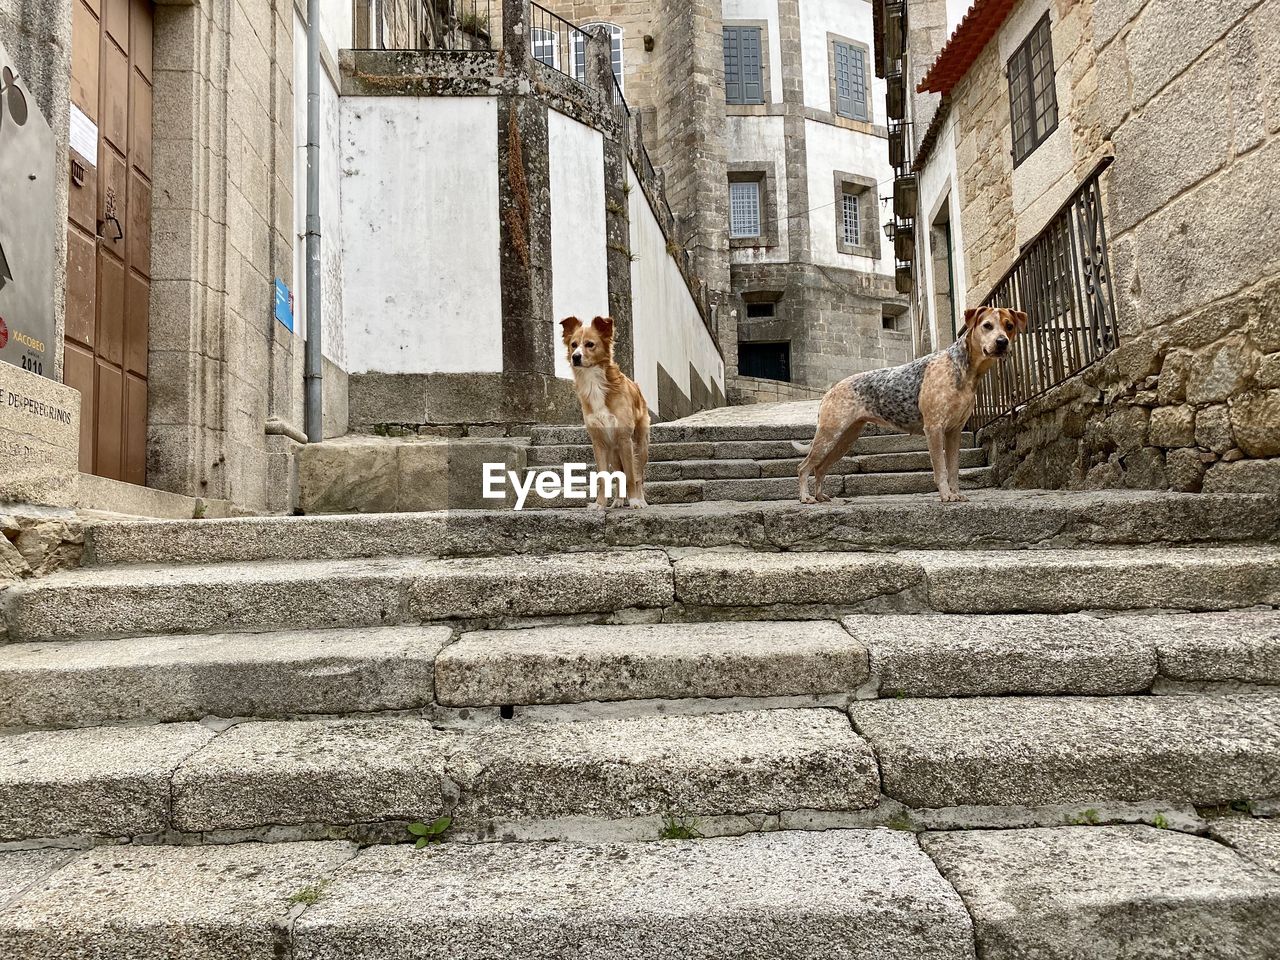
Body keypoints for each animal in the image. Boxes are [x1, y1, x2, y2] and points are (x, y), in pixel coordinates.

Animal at [560, 316, 650, 512]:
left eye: (590, 344)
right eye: (573, 344)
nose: (575, 357)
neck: (595, 383)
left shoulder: (625, 439)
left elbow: (631, 476)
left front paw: (634, 501)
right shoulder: (599, 442)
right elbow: (603, 477)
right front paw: (600, 504)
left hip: (640, 446)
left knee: (639, 475)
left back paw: (641, 500)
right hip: (614, 452)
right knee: (619, 474)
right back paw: (618, 501)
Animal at [793, 305, 1024, 504]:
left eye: (1009, 325)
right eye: (987, 325)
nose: (1002, 342)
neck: (963, 370)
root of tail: (829, 392)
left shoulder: (954, 433)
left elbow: (953, 469)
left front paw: (956, 494)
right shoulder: (934, 429)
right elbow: (941, 470)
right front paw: (946, 496)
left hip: (844, 440)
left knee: (820, 469)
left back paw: (820, 496)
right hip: (829, 437)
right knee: (803, 467)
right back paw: (806, 498)